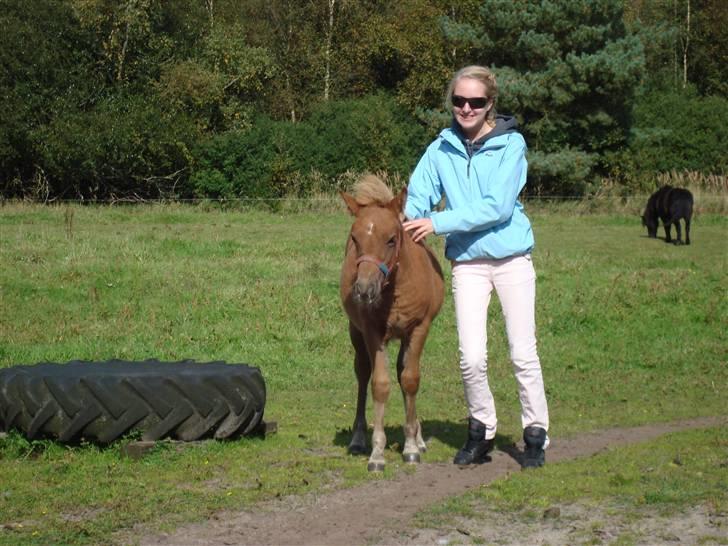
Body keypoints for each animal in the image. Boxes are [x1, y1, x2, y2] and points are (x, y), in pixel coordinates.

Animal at [340, 174, 444, 468]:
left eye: (391, 239)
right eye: (354, 238)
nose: (364, 290)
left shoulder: (419, 328)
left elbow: (410, 379)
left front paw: (411, 445)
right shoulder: (372, 332)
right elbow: (380, 384)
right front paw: (376, 452)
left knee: (403, 372)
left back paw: (418, 438)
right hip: (356, 332)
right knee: (363, 373)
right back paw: (358, 438)